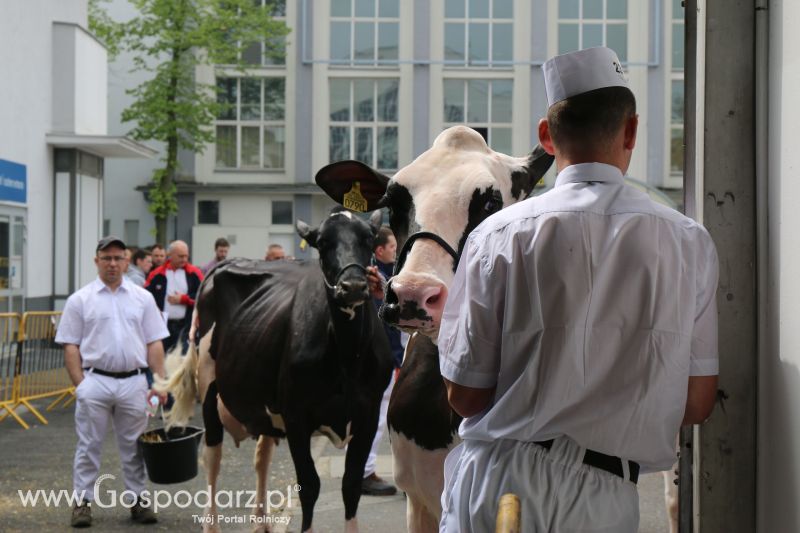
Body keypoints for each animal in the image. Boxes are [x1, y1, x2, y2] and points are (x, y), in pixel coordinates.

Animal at [165, 207, 394, 532]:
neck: (347, 358)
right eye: (323, 243)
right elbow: (309, 486)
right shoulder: (296, 415)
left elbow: (351, 485)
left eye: (368, 239)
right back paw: (212, 524)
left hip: (263, 403)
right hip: (208, 384)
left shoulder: (368, 413)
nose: (353, 287)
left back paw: (261, 522)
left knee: (261, 457)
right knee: (212, 458)